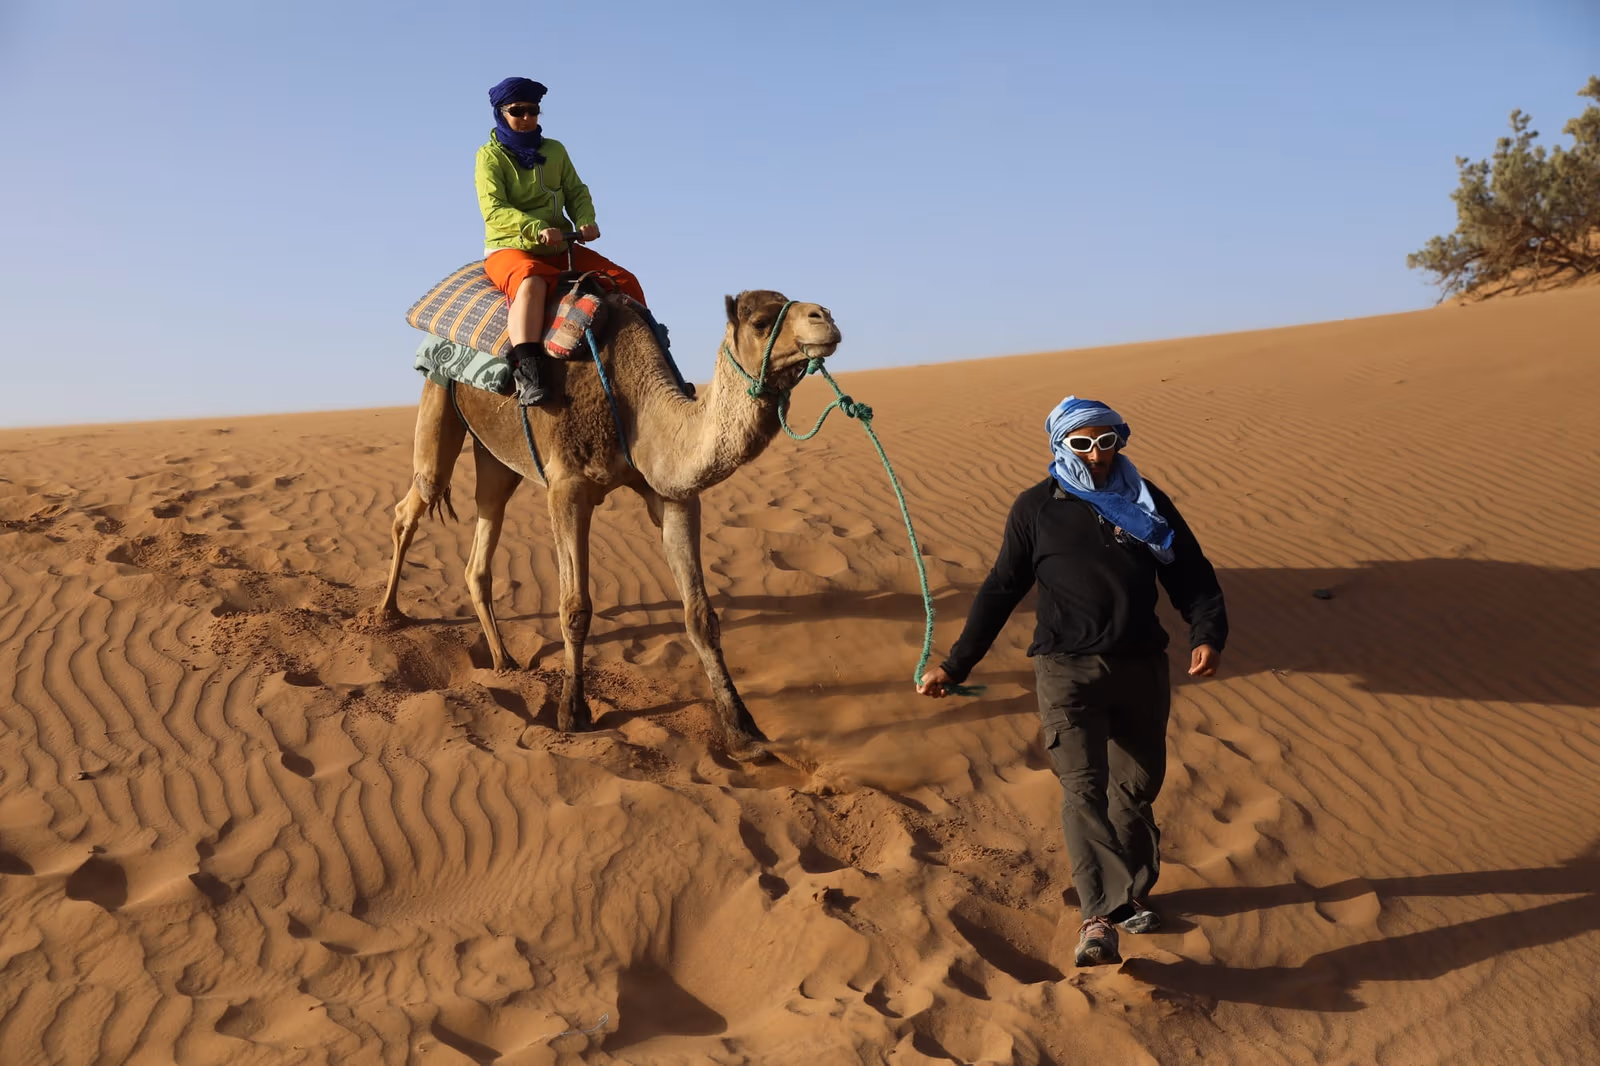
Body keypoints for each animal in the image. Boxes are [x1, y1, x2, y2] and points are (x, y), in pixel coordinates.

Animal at [376, 289, 842, 756]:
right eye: (761, 322)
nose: (826, 318)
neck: (635, 401)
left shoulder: (672, 494)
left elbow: (700, 615)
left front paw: (742, 729)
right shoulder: (567, 489)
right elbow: (575, 609)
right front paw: (572, 712)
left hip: (497, 455)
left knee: (484, 532)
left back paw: (503, 660)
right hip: (437, 399)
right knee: (413, 503)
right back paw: (386, 615)